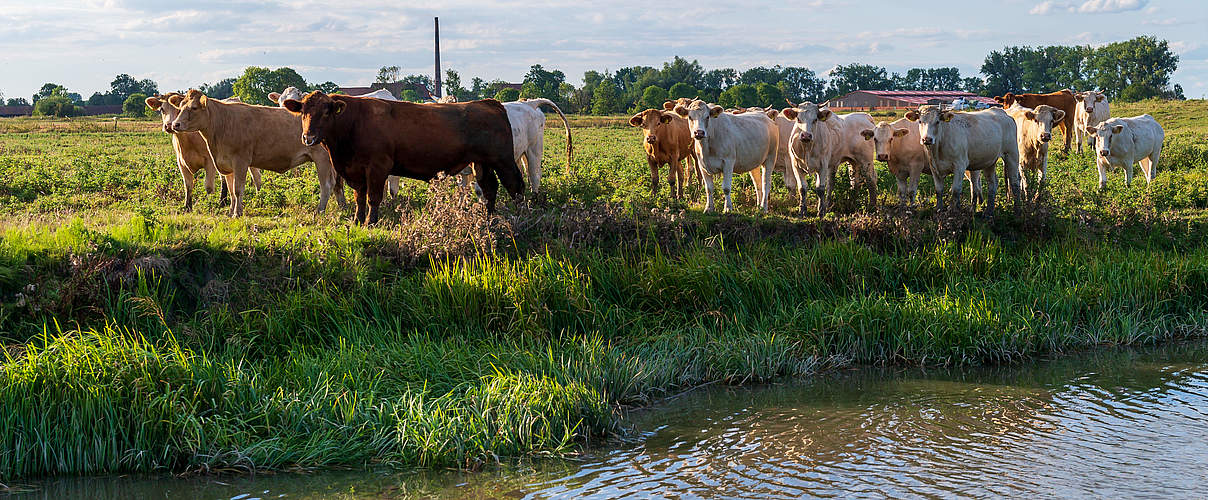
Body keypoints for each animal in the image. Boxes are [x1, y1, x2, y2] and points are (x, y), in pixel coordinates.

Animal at [167, 89, 343, 217]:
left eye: (194, 108)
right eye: (180, 107)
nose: (175, 124)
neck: (222, 123)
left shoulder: (241, 161)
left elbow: (238, 189)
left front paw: (237, 213)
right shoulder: (226, 164)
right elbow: (231, 191)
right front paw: (230, 212)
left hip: (322, 159)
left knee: (326, 185)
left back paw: (320, 211)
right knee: (336, 185)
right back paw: (343, 208)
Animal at [287, 91, 529, 227]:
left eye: (326, 112)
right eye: (303, 112)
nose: (308, 137)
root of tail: (489, 103)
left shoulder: (378, 167)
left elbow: (373, 197)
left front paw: (370, 223)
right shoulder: (355, 170)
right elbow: (360, 198)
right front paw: (357, 220)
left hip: (503, 160)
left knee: (515, 185)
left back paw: (520, 215)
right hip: (482, 162)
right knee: (490, 188)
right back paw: (490, 218)